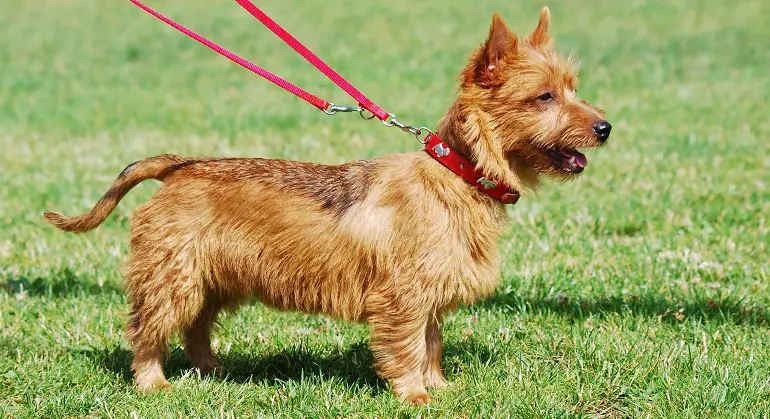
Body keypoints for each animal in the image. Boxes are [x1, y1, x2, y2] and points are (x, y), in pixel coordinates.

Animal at [43, 8, 608, 406]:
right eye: (544, 97)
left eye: (573, 89)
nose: (604, 127)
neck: (457, 175)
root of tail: (179, 166)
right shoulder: (403, 297)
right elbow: (407, 346)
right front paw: (415, 396)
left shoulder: (430, 295)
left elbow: (431, 344)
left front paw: (440, 388)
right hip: (173, 277)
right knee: (148, 331)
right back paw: (153, 382)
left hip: (212, 281)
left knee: (196, 328)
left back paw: (212, 371)